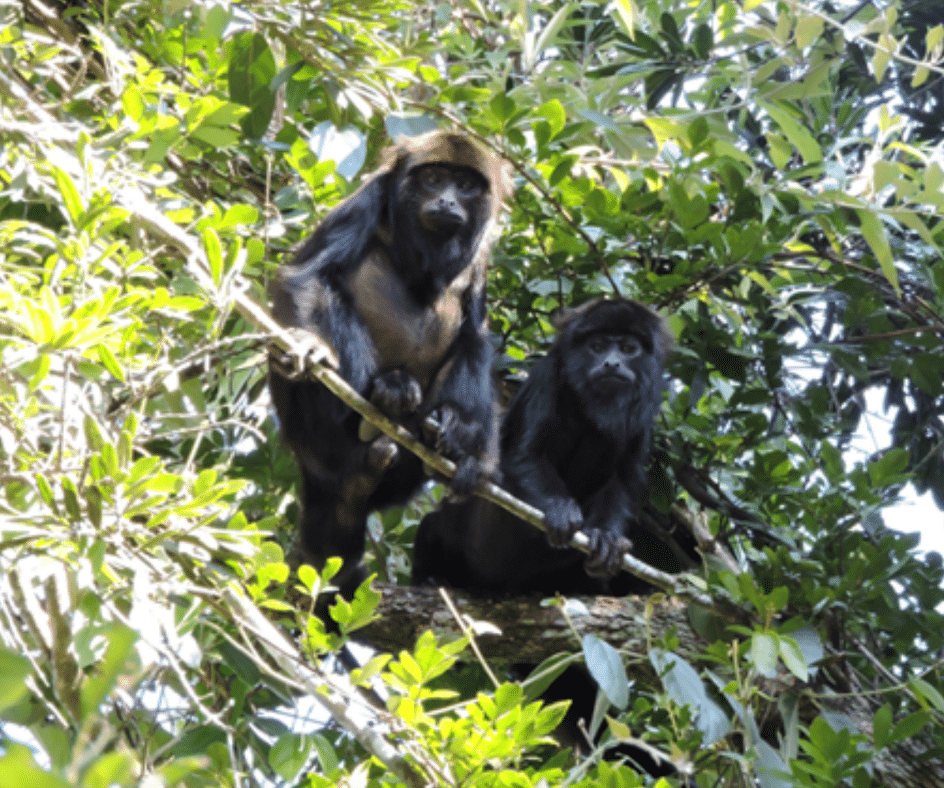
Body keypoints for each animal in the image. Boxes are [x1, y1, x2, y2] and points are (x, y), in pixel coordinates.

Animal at [412, 298, 672, 596]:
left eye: (628, 349)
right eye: (597, 346)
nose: (612, 363)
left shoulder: (645, 414)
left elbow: (621, 480)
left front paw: (606, 537)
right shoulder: (546, 376)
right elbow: (526, 454)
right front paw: (560, 509)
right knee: (432, 525)